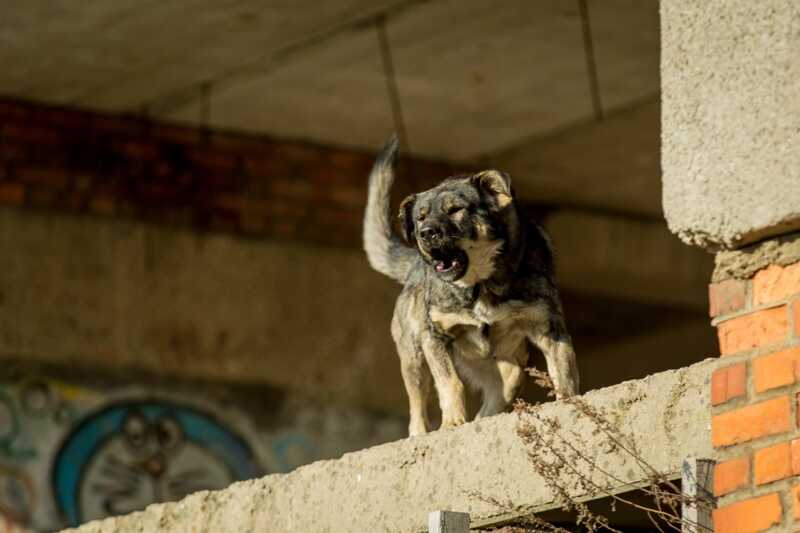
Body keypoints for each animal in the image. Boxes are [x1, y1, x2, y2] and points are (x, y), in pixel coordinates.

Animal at [364, 137, 580, 436]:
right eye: (420, 218)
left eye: (455, 210)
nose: (425, 234)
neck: (481, 284)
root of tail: (414, 267)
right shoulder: (435, 336)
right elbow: (450, 383)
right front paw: (452, 422)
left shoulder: (549, 328)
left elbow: (564, 370)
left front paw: (570, 402)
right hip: (414, 357)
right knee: (417, 405)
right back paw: (419, 434)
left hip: (508, 370)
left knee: (497, 395)